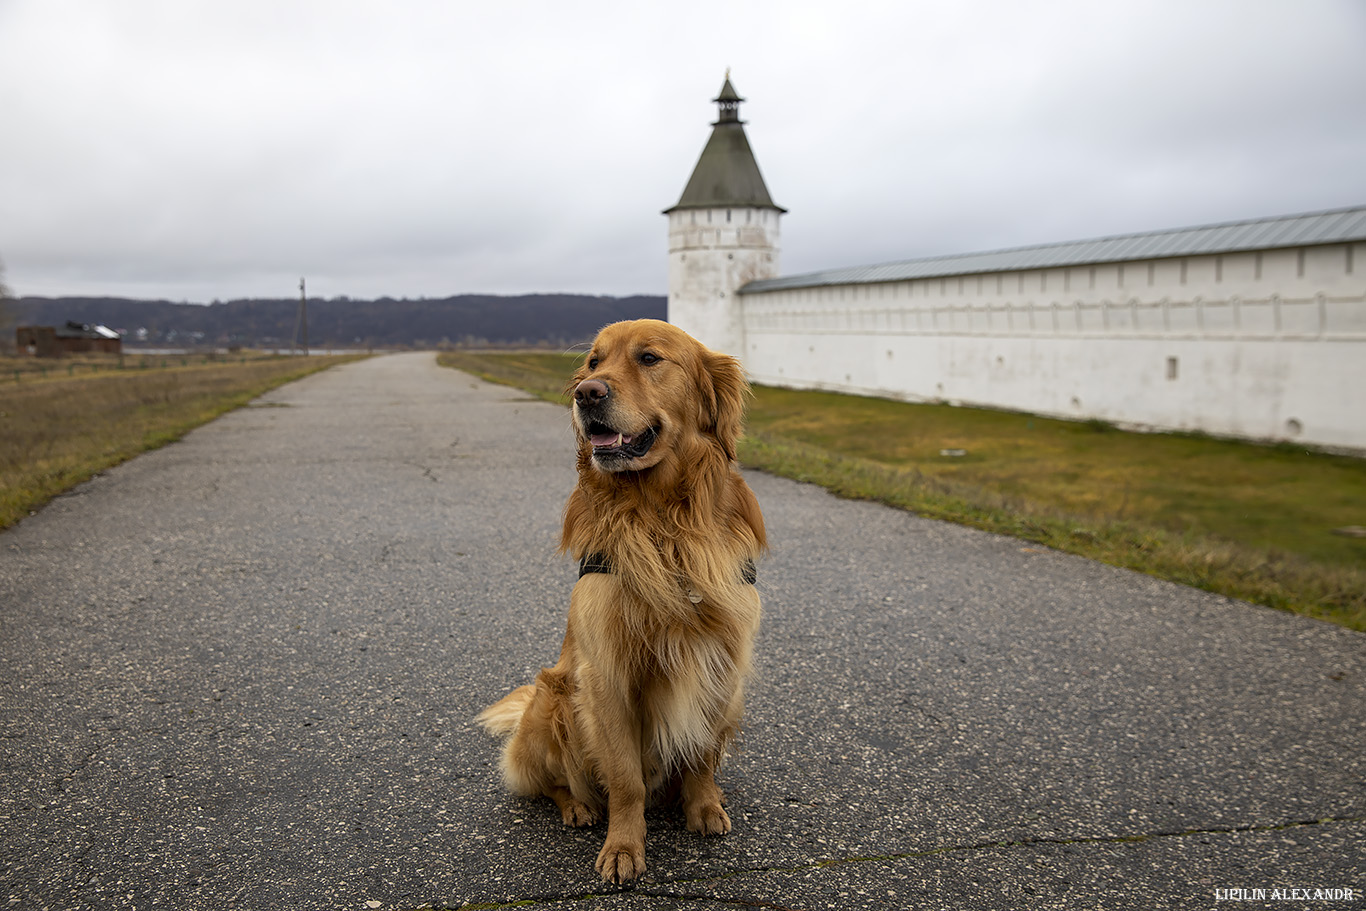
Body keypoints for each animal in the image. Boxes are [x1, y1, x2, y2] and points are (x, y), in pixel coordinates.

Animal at [475, 319, 764, 885]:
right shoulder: (607, 673)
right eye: (593, 362)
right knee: (554, 783)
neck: (661, 516)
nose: (586, 394)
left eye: (650, 358)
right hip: (552, 701)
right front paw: (624, 848)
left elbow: (701, 753)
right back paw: (580, 807)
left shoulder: (722, 660)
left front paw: (703, 806)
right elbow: (625, 779)